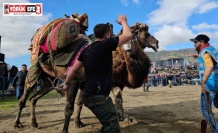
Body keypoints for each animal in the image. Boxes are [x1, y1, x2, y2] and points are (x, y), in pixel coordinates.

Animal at [12, 12, 158, 133]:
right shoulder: (75, 80)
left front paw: (78, 122)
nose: (156, 43)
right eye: (144, 32)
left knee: (33, 99)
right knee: (23, 98)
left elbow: (81, 102)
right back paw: (17, 123)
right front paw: (65, 130)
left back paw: (34, 123)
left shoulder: (87, 82)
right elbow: (69, 107)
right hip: (34, 71)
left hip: (49, 80)